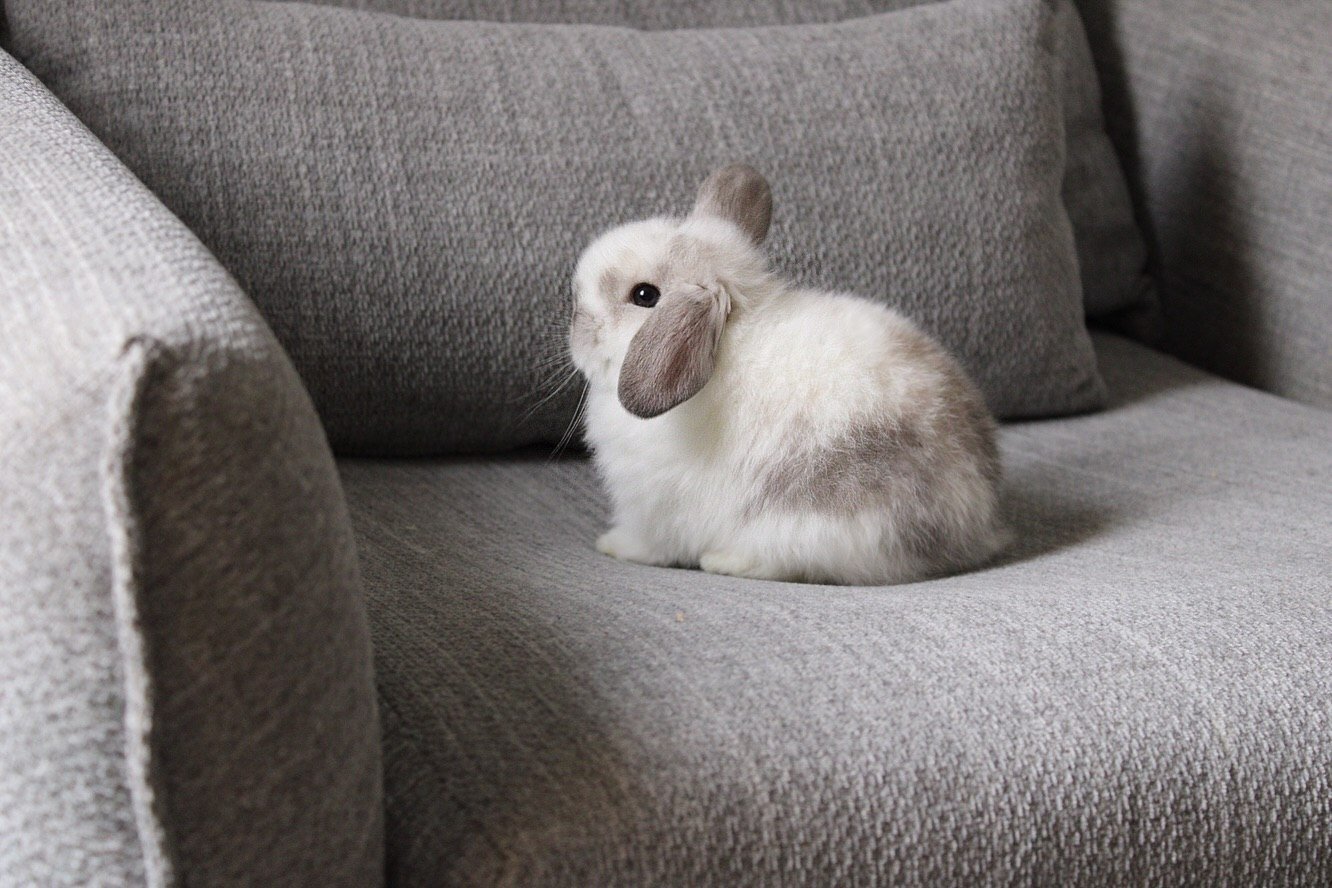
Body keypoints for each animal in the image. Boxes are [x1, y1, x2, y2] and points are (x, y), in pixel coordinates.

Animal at [568, 164, 1007, 585]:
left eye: (644, 295)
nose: (575, 323)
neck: (724, 345)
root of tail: (970, 525)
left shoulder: (654, 510)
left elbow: (649, 544)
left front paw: (611, 544)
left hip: (809, 522)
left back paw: (725, 561)